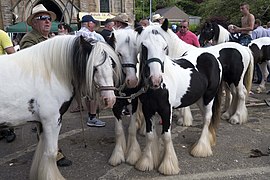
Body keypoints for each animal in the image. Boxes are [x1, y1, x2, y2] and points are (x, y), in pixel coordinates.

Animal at [0, 35, 121, 180]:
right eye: (94, 68)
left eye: (112, 64)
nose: (110, 100)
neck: (50, 74)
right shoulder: (52, 121)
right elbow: (51, 152)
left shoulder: (41, 123)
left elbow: (42, 151)